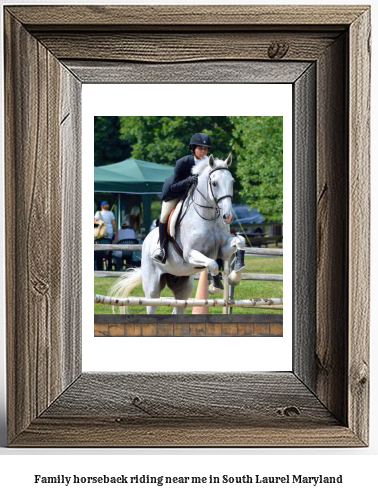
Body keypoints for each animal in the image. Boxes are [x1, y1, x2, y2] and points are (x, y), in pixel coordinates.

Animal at [109, 154, 245, 314]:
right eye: (215, 183)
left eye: (232, 182)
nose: (228, 216)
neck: (209, 216)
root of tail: (146, 239)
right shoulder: (190, 254)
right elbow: (212, 263)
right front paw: (214, 286)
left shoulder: (222, 250)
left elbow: (240, 241)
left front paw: (235, 275)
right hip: (152, 288)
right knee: (152, 303)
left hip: (182, 285)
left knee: (178, 307)